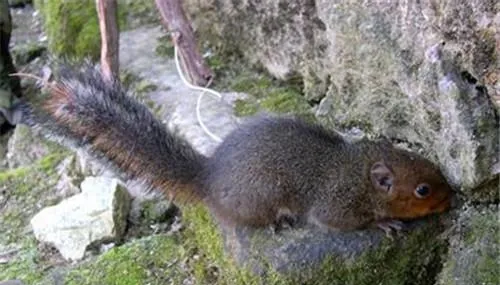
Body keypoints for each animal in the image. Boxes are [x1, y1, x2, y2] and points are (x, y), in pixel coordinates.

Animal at [5, 65, 456, 235]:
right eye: (422, 191)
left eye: (433, 165)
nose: (451, 199)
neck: (358, 170)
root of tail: (207, 178)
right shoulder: (336, 202)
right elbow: (339, 223)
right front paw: (384, 223)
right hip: (262, 196)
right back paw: (277, 223)